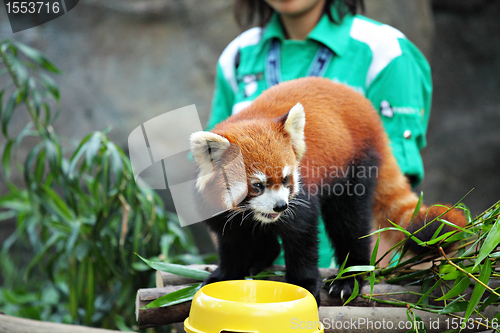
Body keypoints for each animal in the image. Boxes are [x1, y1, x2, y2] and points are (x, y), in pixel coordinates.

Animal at [189, 77, 466, 304]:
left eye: (286, 179)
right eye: (257, 186)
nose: (281, 206)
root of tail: (364, 105)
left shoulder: (301, 197)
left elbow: (302, 237)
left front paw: (304, 284)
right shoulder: (219, 210)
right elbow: (230, 241)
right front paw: (225, 275)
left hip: (354, 166)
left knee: (349, 222)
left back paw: (349, 278)